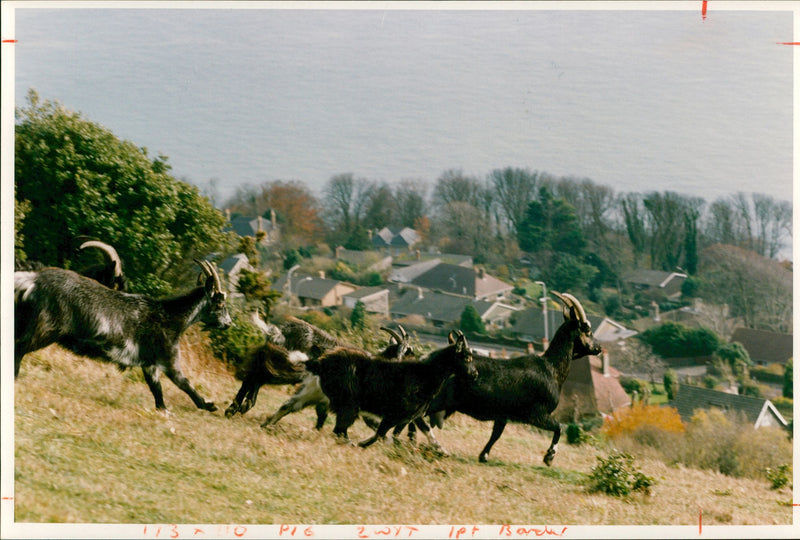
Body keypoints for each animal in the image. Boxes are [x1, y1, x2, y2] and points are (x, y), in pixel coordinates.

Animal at [14, 260, 231, 412]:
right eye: (220, 303)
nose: (229, 323)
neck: (170, 317)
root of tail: (33, 280)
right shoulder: (167, 356)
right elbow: (183, 382)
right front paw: (208, 405)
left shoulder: (149, 363)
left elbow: (156, 387)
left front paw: (162, 409)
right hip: (45, 329)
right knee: (19, 348)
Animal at [302, 332, 476, 450]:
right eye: (467, 357)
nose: (475, 374)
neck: (424, 374)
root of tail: (320, 363)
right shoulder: (395, 414)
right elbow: (381, 433)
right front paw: (364, 444)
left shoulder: (411, 415)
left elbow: (418, 429)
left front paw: (440, 449)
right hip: (348, 405)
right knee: (340, 430)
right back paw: (351, 443)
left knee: (339, 430)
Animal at [428, 294, 596, 466]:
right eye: (587, 330)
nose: (598, 348)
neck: (551, 368)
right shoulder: (536, 414)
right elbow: (559, 427)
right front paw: (549, 458)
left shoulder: (503, 415)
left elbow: (496, 434)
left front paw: (483, 456)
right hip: (439, 400)